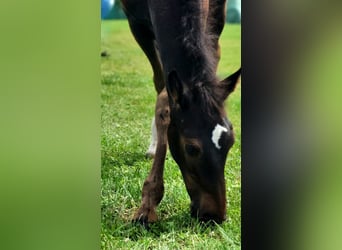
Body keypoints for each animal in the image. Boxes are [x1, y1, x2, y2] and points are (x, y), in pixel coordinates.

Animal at [120, 0, 240, 225]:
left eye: (231, 142)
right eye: (191, 148)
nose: (214, 216)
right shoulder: (136, 25)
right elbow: (162, 95)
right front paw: (147, 205)